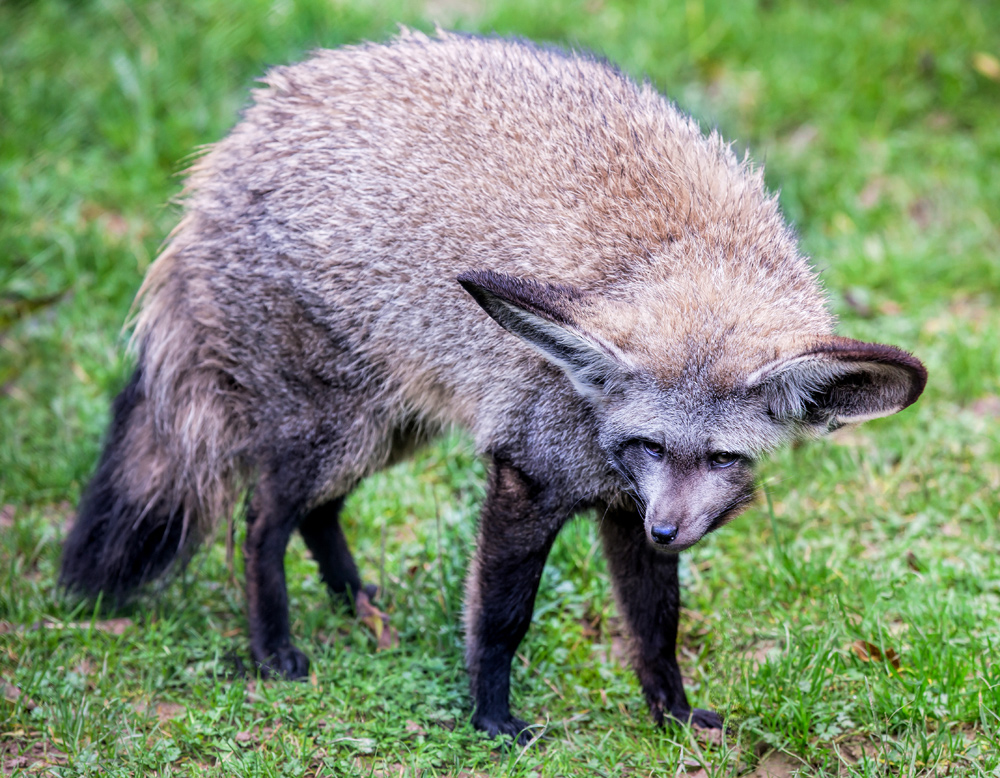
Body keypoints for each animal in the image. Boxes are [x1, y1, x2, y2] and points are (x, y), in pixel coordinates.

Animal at [62, 30, 924, 744]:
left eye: (722, 458)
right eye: (649, 445)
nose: (670, 533)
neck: (672, 253)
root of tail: (244, 133)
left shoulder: (622, 509)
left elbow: (656, 627)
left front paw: (671, 714)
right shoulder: (528, 474)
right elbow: (503, 618)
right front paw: (490, 717)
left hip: (389, 429)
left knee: (317, 512)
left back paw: (355, 602)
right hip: (336, 429)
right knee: (262, 518)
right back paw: (274, 645)